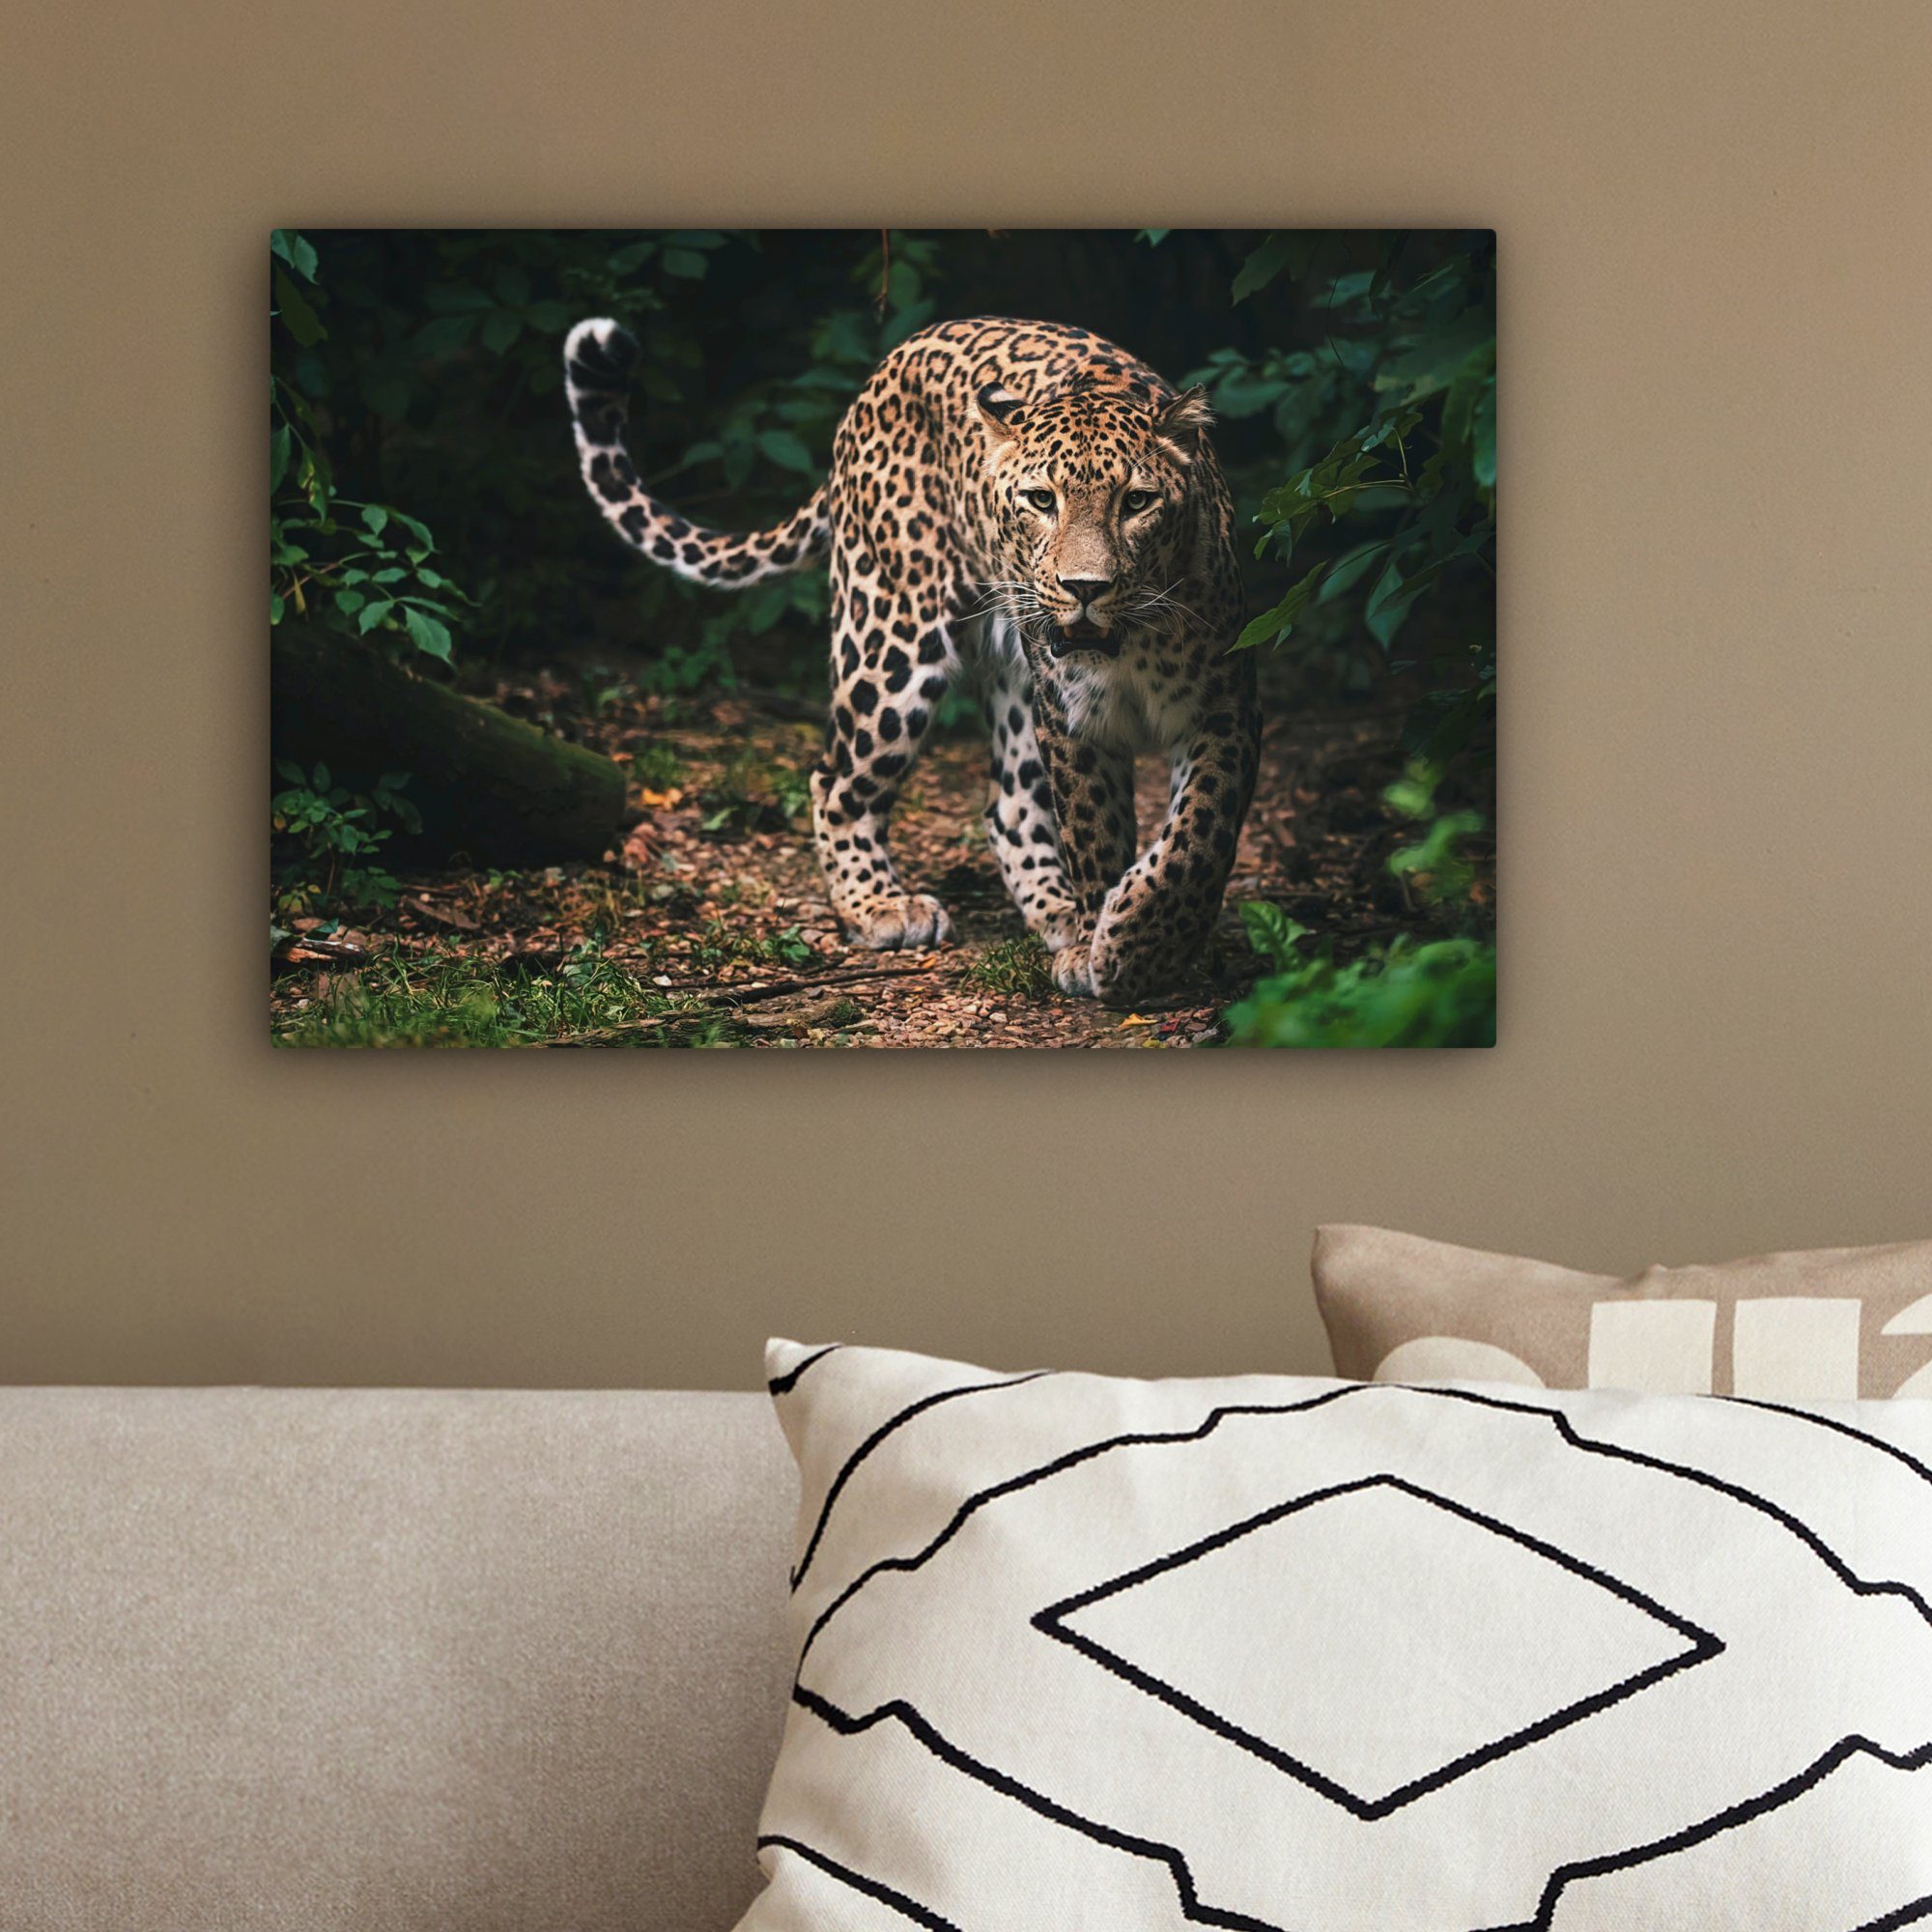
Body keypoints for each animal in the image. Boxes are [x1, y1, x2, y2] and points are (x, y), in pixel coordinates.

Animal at [563, 314, 1260, 1003]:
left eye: (1137, 502)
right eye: (1041, 500)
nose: (1084, 588)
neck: (1129, 645)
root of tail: (888, 365)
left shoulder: (1225, 708)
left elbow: (1198, 836)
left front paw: (1139, 943)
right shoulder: (1072, 721)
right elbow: (1096, 835)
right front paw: (1112, 949)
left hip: (1011, 677)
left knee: (1008, 805)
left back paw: (1057, 915)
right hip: (890, 640)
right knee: (835, 780)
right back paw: (882, 907)